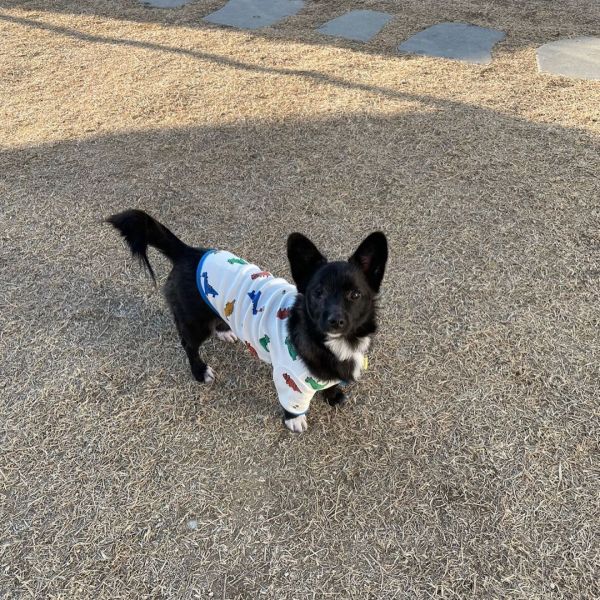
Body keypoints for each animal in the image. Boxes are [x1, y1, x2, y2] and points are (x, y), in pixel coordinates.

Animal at [106, 210, 388, 433]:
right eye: (318, 293)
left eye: (355, 294)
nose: (334, 321)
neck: (335, 344)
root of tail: (188, 253)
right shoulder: (290, 381)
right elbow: (293, 405)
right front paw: (294, 420)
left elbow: (327, 384)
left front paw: (333, 394)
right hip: (194, 324)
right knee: (188, 345)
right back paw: (200, 371)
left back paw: (225, 330)